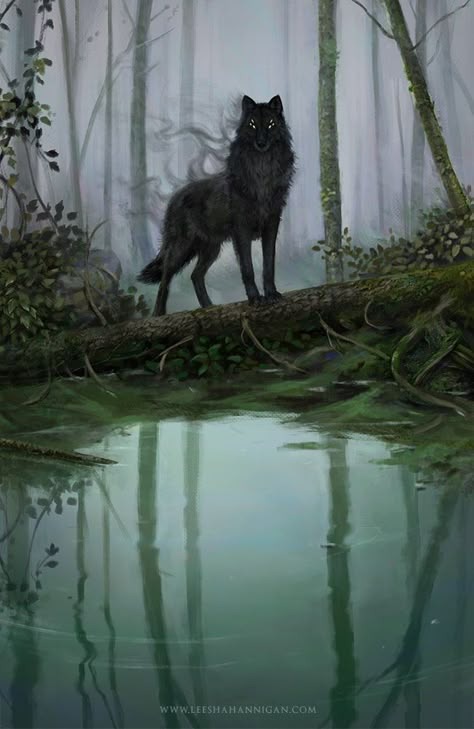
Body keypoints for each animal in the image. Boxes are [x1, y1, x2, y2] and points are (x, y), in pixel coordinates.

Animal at [138, 94, 295, 316]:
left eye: (271, 124)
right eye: (253, 124)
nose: (261, 142)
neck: (262, 173)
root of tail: (174, 198)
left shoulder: (271, 225)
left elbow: (269, 265)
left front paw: (272, 294)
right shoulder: (241, 231)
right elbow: (247, 268)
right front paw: (255, 298)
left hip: (211, 249)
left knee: (195, 275)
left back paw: (208, 307)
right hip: (182, 248)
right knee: (166, 276)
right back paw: (159, 313)